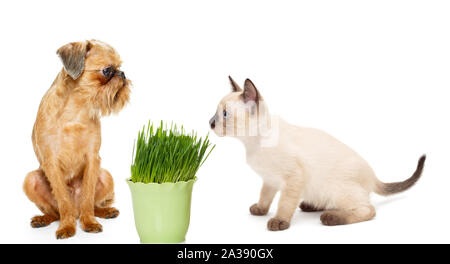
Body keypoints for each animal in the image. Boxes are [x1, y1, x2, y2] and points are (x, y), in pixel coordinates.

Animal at [23, 39, 131, 239]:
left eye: (120, 67)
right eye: (107, 70)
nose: (122, 74)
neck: (75, 110)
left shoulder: (93, 159)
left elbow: (88, 196)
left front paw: (89, 223)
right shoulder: (51, 163)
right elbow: (63, 199)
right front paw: (67, 226)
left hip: (106, 175)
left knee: (90, 206)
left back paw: (104, 212)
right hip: (30, 179)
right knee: (56, 212)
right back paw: (44, 219)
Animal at [211, 77, 426, 231]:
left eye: (224, 114)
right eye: (216, 113)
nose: (210, 122)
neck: (252, 144)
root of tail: (373, 177)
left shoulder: (293, 178)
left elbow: (284, 203)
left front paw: (279, 221)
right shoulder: (270, 179)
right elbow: (265, 196)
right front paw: (260, 209)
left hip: (338, 190)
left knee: (368, 210)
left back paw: (331, 217)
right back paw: (311, 205)